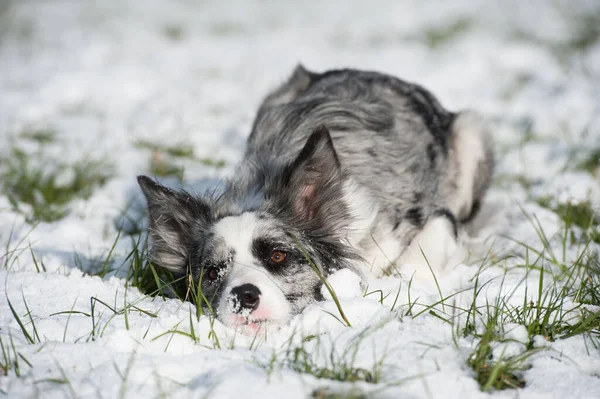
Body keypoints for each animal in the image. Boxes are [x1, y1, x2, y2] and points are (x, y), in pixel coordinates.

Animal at [138, 66, 494, 334]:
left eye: (278, 256)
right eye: (212, 273)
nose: (243, 297)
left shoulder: (430, 219)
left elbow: (418, 262)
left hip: (471, 131)